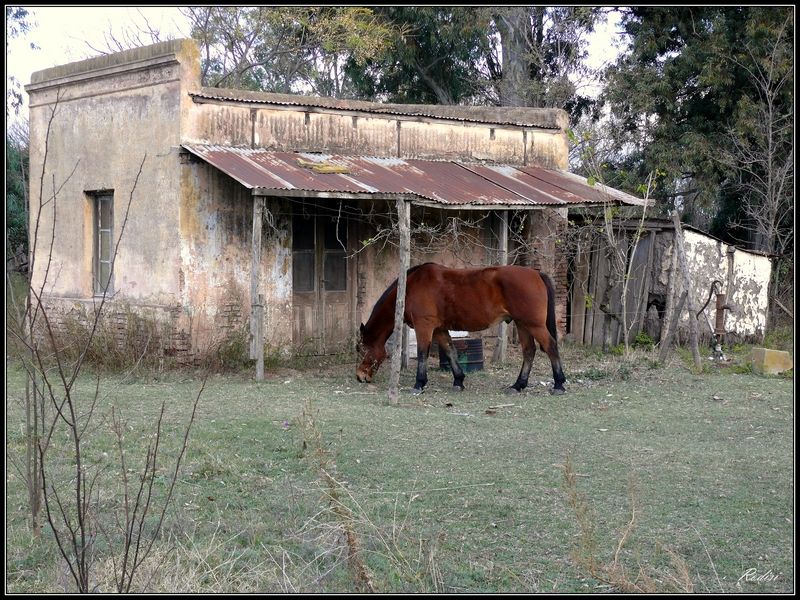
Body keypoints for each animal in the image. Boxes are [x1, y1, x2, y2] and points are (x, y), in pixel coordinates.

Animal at [354, 262, 564, 394]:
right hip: (522, 324)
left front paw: (419, 384)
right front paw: (458, 380)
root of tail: (536, 273)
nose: (360, 376)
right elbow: (450, 351)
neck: (411, 286)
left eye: (361, 349)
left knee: (551, 347)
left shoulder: (425, 326)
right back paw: (518, 385)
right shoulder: (439, 329)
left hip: (533, 325)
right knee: (529, 351)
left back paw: (559, 385)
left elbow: (422, 354)